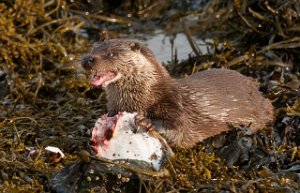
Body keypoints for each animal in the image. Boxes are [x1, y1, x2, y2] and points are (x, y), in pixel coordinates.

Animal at [82, 39, 274, 148]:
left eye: (110, 54)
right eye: (92, 49)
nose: (87, 59)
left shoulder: (174, 102)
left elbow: (179, 129)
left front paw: (148, 122)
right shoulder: (114, 108)